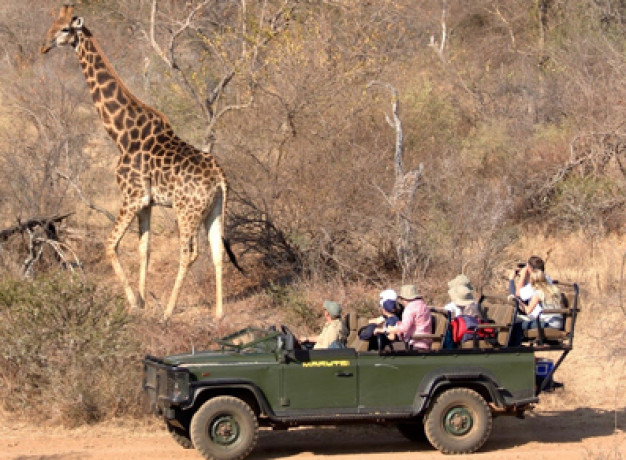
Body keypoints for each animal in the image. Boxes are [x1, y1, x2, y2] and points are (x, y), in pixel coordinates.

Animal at [40, 5, 236, 320]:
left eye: (65, 29)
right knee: (217, 250)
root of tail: (220, 178)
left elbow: (111, 245)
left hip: (187, 210)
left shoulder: (132, 195)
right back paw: (218, 314)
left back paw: (168, 311)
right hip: (215, 209)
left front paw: (133, 302)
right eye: (52, 23)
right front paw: (143, 301)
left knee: (189, 252)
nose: (44, 46)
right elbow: (145, 248)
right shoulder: (147, 202)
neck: (121, 133)